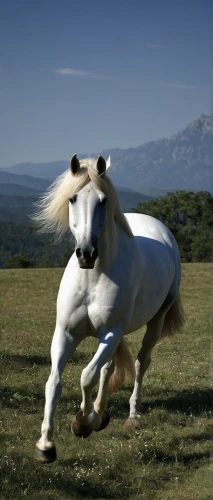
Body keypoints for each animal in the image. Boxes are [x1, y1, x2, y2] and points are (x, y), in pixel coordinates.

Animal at [34, 156, 184, 464]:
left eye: (103, 200)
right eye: (72, 198)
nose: (86, 254)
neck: (93, 277)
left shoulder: (111, 332)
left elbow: (86, 376)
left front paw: (82, 423)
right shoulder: (65, 333)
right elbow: (54, 382)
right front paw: (45, 445)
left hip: (154, 322)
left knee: (140, 363)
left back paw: (131, 415)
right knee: (108, 367)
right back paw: (100, 415)